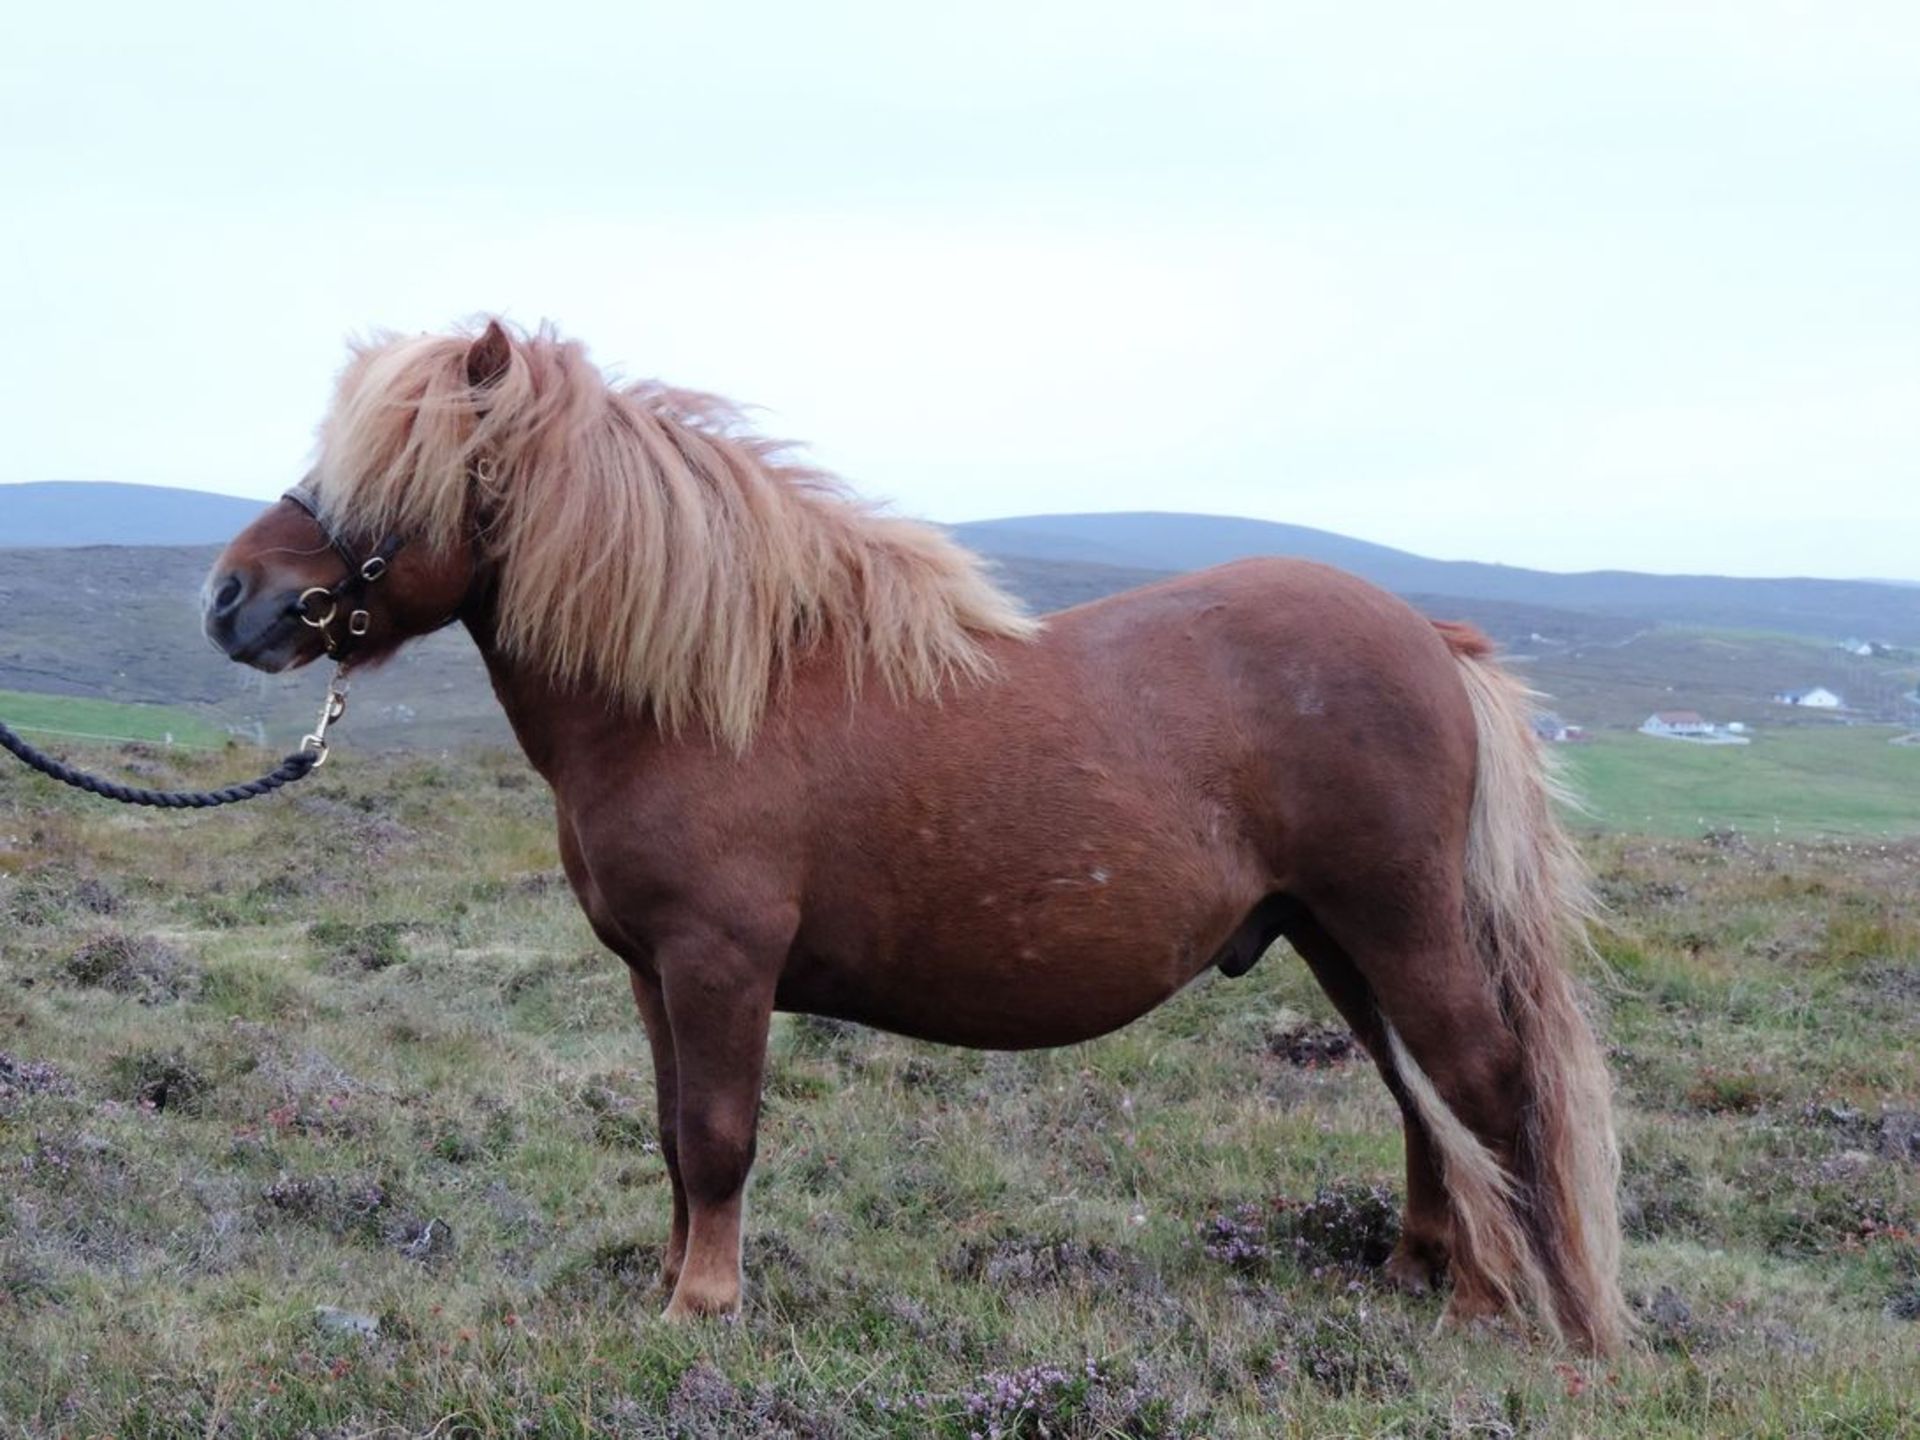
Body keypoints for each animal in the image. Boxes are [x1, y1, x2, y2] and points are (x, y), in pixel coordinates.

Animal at [206, 318, 1620, 1351]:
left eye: (393, 472)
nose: (233, 599)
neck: (708, 692)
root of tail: (1428, 635)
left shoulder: (720, 965)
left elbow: (718, 1137)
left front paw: (703, 1310)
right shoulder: (653, 975)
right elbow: (670, 1135)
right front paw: (666, 1287)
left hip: (1397, 920)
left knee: (1479, 1080)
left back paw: (1501, 1307)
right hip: (1335, 935)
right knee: (1417, 1090)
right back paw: (1420, 1271)